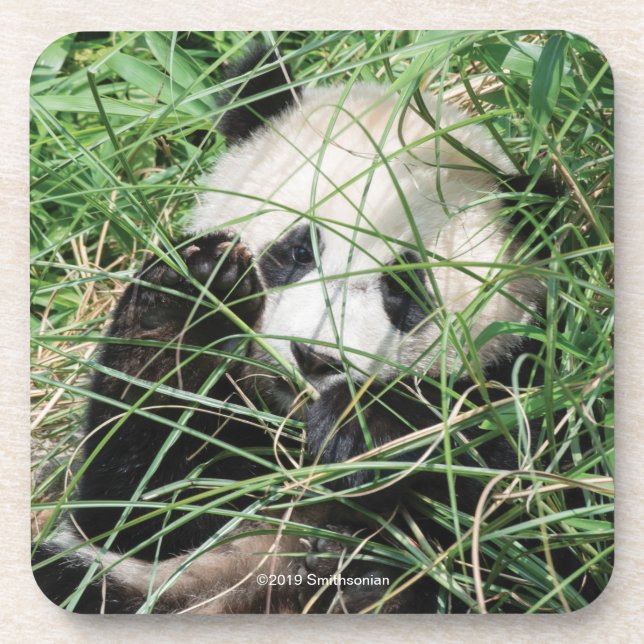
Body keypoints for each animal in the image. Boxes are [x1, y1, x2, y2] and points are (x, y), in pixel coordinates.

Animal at [32, 45, 559, 614]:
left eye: (402, 288)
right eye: (300, 251)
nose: (314, 358)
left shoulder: (524, 370)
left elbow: (530, 507)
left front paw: (365, 425)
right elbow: (137, 508)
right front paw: (191, 294)